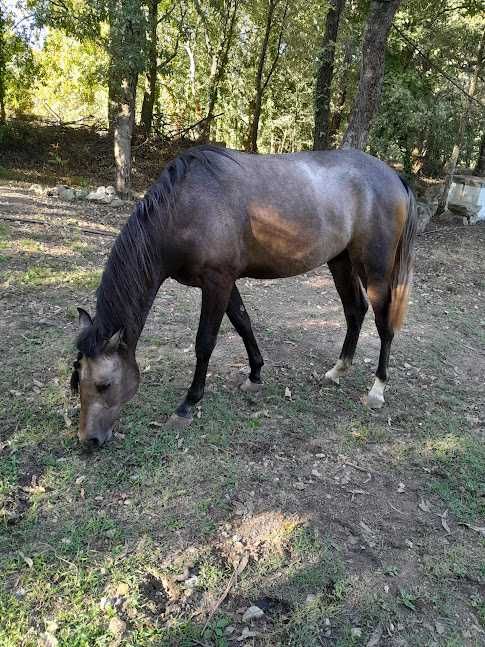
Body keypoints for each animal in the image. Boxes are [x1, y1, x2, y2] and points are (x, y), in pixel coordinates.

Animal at [70, 145, 417, 446]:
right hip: (340, 260)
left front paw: (188, 404)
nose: (89, 440)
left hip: (375, 269)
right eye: (77, 379)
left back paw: (377, 390)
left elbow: (205, 343)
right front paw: (255, 374)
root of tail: (393, 176)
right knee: (354, 310)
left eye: (104, 384)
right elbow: (243, 322)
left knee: (384, 324)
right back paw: (337, 371)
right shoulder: (225, 282)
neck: (186, 207)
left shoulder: (217, 282)